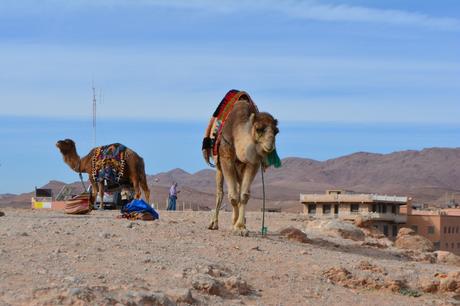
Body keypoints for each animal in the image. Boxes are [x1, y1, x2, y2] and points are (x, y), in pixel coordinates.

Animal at [205, 92, 280, 235]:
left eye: (276, 131)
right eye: (258, 129)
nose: (270, 146)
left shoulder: (253, 162)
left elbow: (244, 195)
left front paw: (241, 226)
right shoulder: (226, 157)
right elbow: (233, 196)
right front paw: (236, 225)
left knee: (239, 189)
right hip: (219, 166)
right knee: (220, 192)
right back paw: (213, 224)